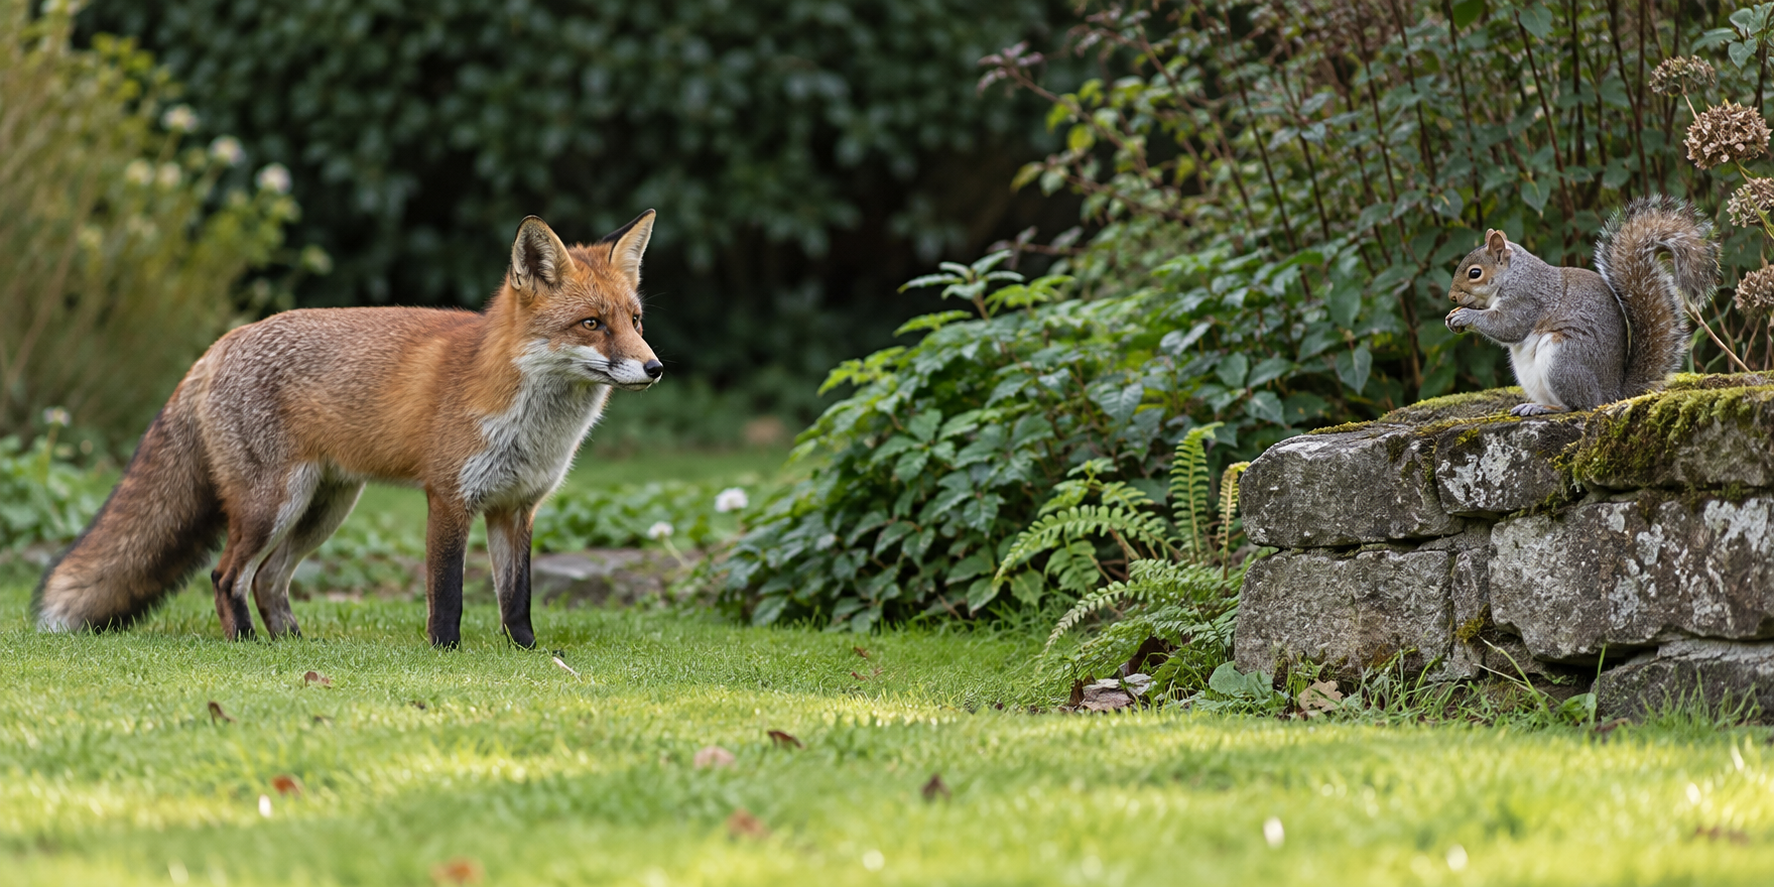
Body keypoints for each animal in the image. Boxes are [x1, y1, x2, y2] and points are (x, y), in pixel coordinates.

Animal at [33, 212, 663, 648]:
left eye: (634, 321)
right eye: (591, 324)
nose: (656, 367)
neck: (529, 419)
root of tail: (218, 346)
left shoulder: (516, 508)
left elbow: (517, 598)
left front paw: (530, 656)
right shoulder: (449, 498)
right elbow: (448, 592)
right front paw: (447, 653)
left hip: (324, 509)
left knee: (268, 581)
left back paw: (294, 645)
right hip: (271, 506)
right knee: (225, 575)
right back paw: (245, 644)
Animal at [1444, 195, 1718, 417]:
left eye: (1475, 273)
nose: (1452, 297)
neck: (1512, 274)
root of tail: (1611, 395)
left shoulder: (1526, 298)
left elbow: (1508, 326)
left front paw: (1465, 316)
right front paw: (1453, 316)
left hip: (1562, 358)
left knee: (1578, 405)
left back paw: (1544, 408)